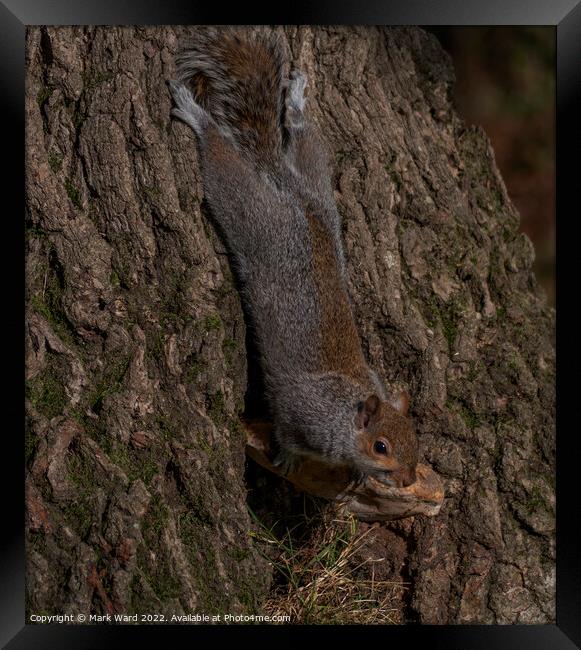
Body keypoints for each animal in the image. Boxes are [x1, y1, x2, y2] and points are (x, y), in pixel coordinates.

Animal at [168, 30, 416, 486]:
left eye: (415, 439)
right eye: (381, 447)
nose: (407, 481)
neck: (345, 407)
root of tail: (284, 186)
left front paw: (357, 478)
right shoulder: (298, 412)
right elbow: (284, 430)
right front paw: (287, 459)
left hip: (318, 185)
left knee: (304, 140)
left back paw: (297, 104)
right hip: (252, 213)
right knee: (223, 162)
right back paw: (199, 118)